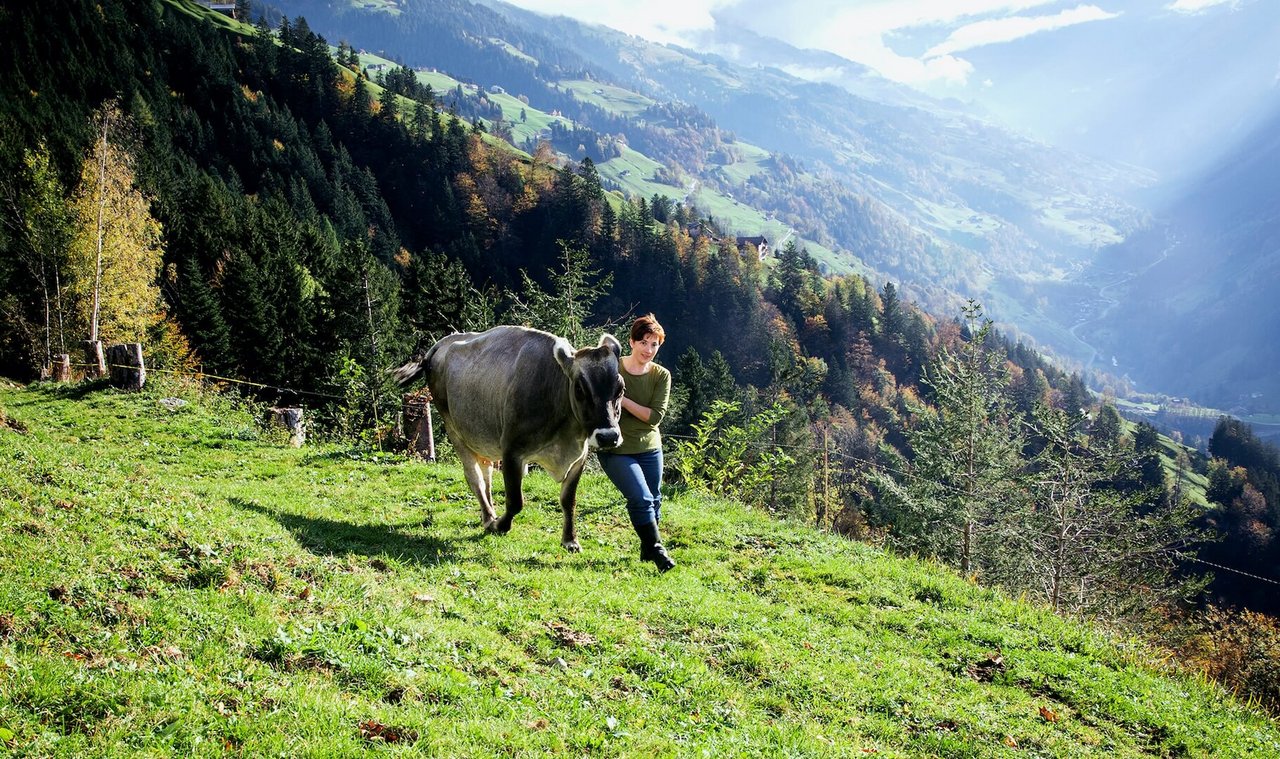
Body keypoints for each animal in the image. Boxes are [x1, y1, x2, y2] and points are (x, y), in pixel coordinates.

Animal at [391, 325, 627, 550]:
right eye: (579, 388)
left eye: (621, 389)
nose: (608, 437)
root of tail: (441, 343)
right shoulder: (512, 451)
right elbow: (515, 501)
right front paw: (500, 526)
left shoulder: (579, 457)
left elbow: (569, 500)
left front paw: (570, 540)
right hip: (454, 428)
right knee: (474, 477)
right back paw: (489, 518)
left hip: (483, 436)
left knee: (486, 472)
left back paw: (488, 514)